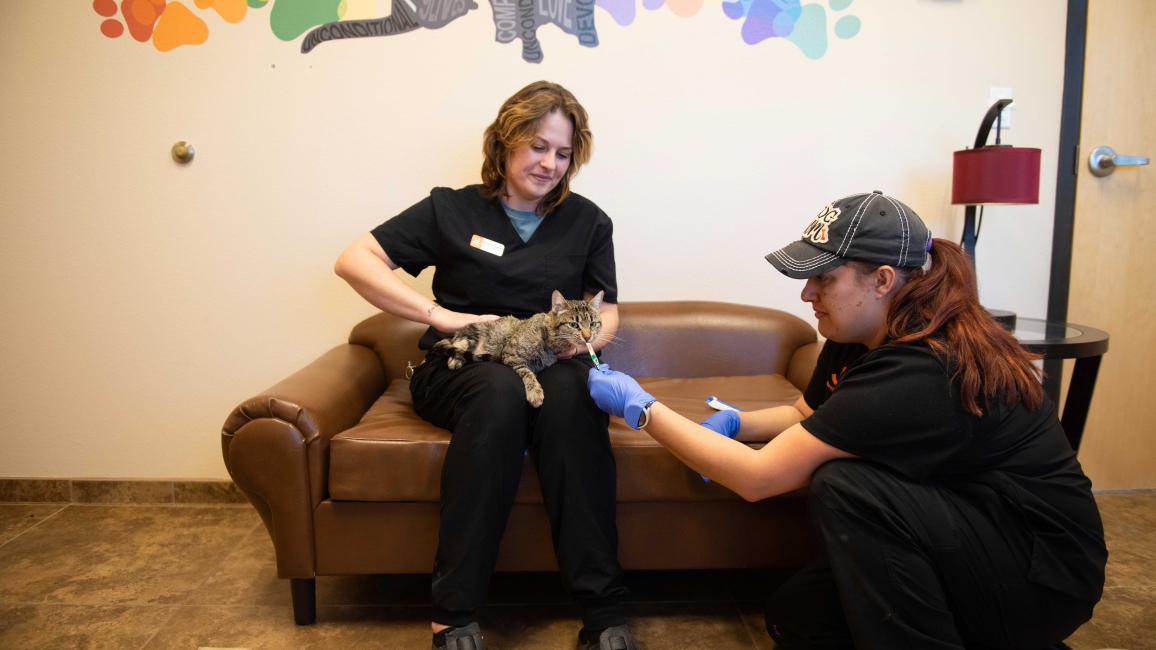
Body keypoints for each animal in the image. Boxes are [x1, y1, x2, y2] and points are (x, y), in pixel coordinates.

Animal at [432, 287, 605, 404]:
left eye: (593, 324)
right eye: (574, 325)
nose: (588, 337)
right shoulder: (511, 356)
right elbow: (527, 373)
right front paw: (535, 392)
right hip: (472, 333)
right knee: (456, 344)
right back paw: (455, 359)